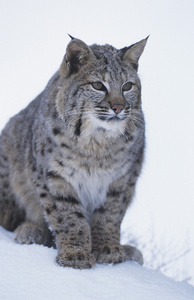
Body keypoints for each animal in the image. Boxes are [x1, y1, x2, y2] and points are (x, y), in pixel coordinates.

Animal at [0, 36, 147, 268]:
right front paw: (75, 254)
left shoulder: (124, 179)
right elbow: (68, 215)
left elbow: (110, 214)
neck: (97, 142)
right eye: (98, 85)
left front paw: (108, 249)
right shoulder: (53, 175)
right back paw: (30, 231)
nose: (118, 107)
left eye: (127, 86)